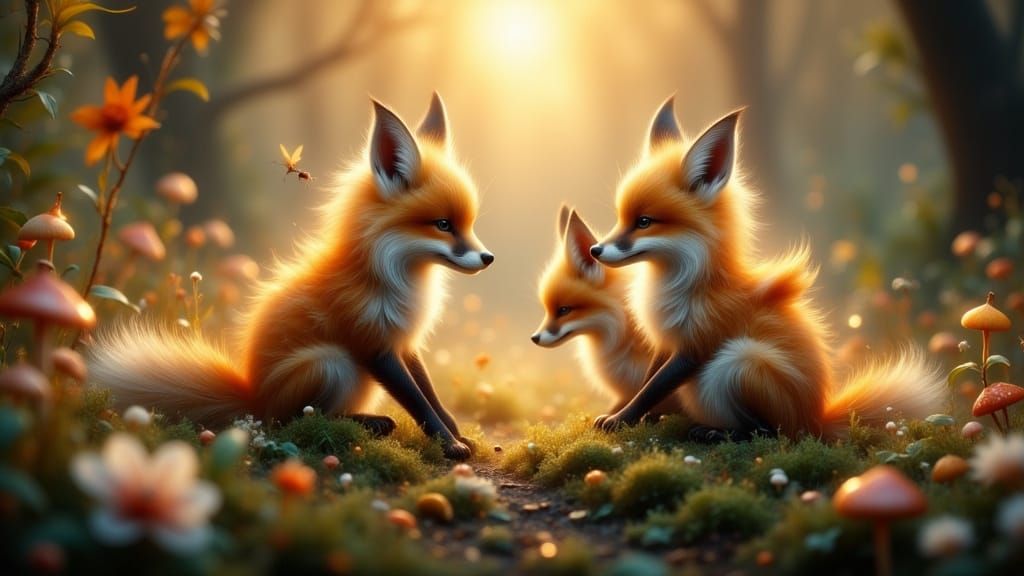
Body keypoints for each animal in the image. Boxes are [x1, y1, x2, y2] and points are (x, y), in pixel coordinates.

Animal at [89, 94, 493, 459]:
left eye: (469, 224)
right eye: (443, 224)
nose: (488, 258)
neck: (398, 277)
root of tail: (253, 396)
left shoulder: (404, 341)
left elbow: (431, 395)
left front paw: (458, 435)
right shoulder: (372, 343)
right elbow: (419, 403)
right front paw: (449, 445)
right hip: (330, 362)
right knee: (295, 420)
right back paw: (371, 423)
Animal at [588, 96, 945, 440]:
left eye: (644, 222)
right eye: (621, 218)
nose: (595, 250)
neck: (686, 281)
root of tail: (816, 417)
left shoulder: (698, 344)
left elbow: (653, 388)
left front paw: (621, 420)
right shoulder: (666, 342)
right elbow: (648, 382)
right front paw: (630, 415)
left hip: (740, 362)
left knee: (772, 431)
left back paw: (717, 432)